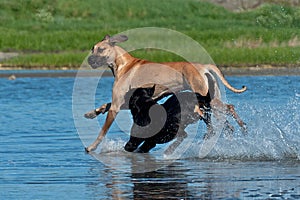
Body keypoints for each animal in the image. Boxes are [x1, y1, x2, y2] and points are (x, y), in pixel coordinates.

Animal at [85, 34, 246, 153]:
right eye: (92, 49)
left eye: (101, 49)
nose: (89, 59)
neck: (123, 64)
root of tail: (204, 66)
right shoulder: (128, 101)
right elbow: (105, 105)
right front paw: (92, 113)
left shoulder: (118, 105)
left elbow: (103, 130)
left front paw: (92, 147)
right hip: (211, 96)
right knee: (225, 113)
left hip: (203, 95)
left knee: (228, 108)